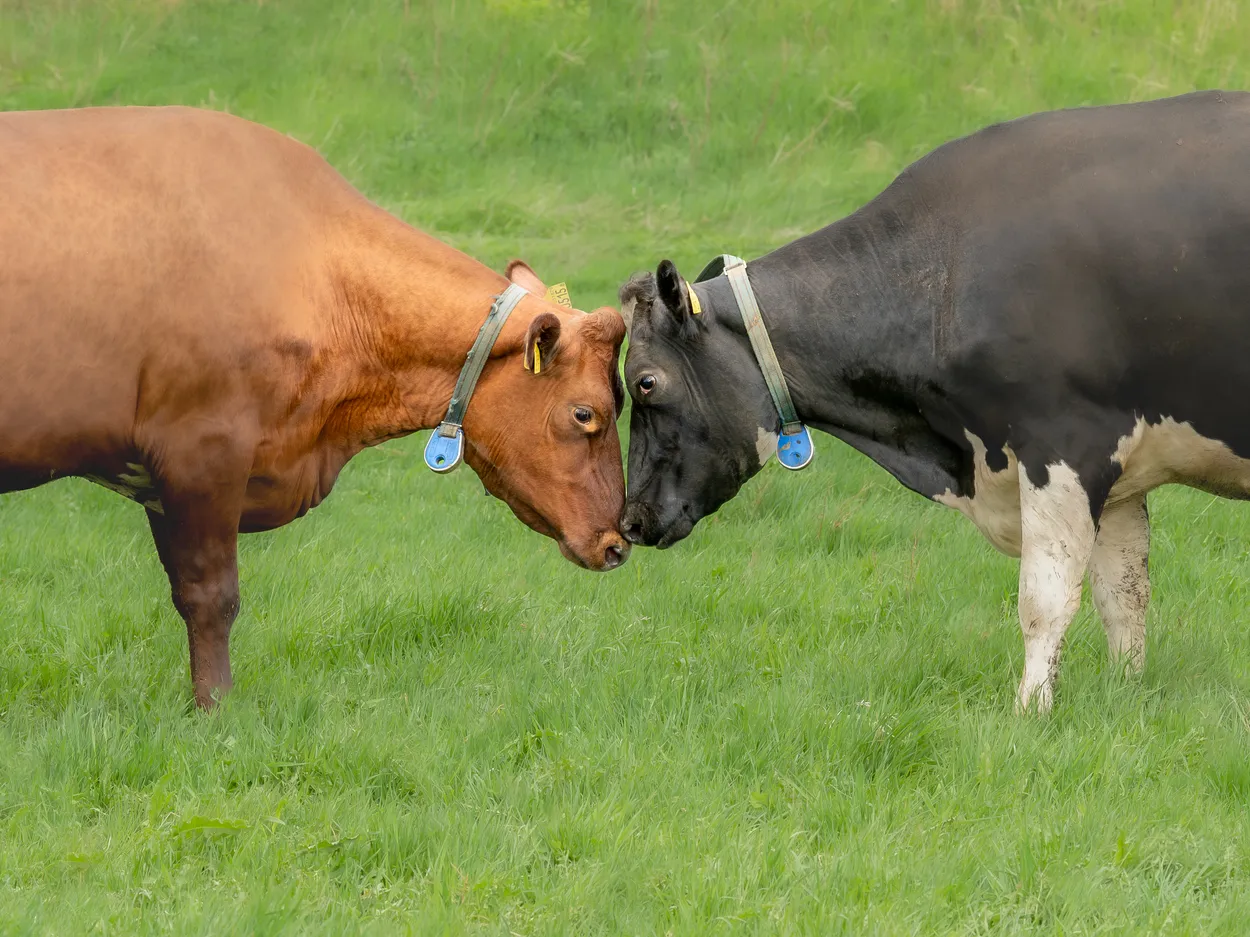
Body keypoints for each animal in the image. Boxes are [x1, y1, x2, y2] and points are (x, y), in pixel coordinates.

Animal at [618, 90, 1250, 712]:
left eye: (645, 382)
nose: (630, 518)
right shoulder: (1121, 471)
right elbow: (1123, 594)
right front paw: (1127, 695)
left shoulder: (1067, 441)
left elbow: (1044, 599)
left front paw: (1029, 712)